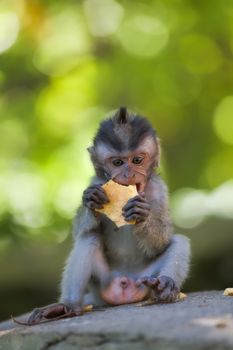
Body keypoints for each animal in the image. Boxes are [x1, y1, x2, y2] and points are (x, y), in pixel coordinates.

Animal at [28, 108, 189, 324]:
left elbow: (161, 242)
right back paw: (66, 305)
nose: (128, 174)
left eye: (137, 160)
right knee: (88, 238)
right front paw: (91, 202)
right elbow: (79, 231)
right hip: (101, 285)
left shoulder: (159, 189)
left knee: (180, 241)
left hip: (143, 280)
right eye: (118, 162)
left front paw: (141, 214)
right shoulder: (95, 181)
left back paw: (164, 286)